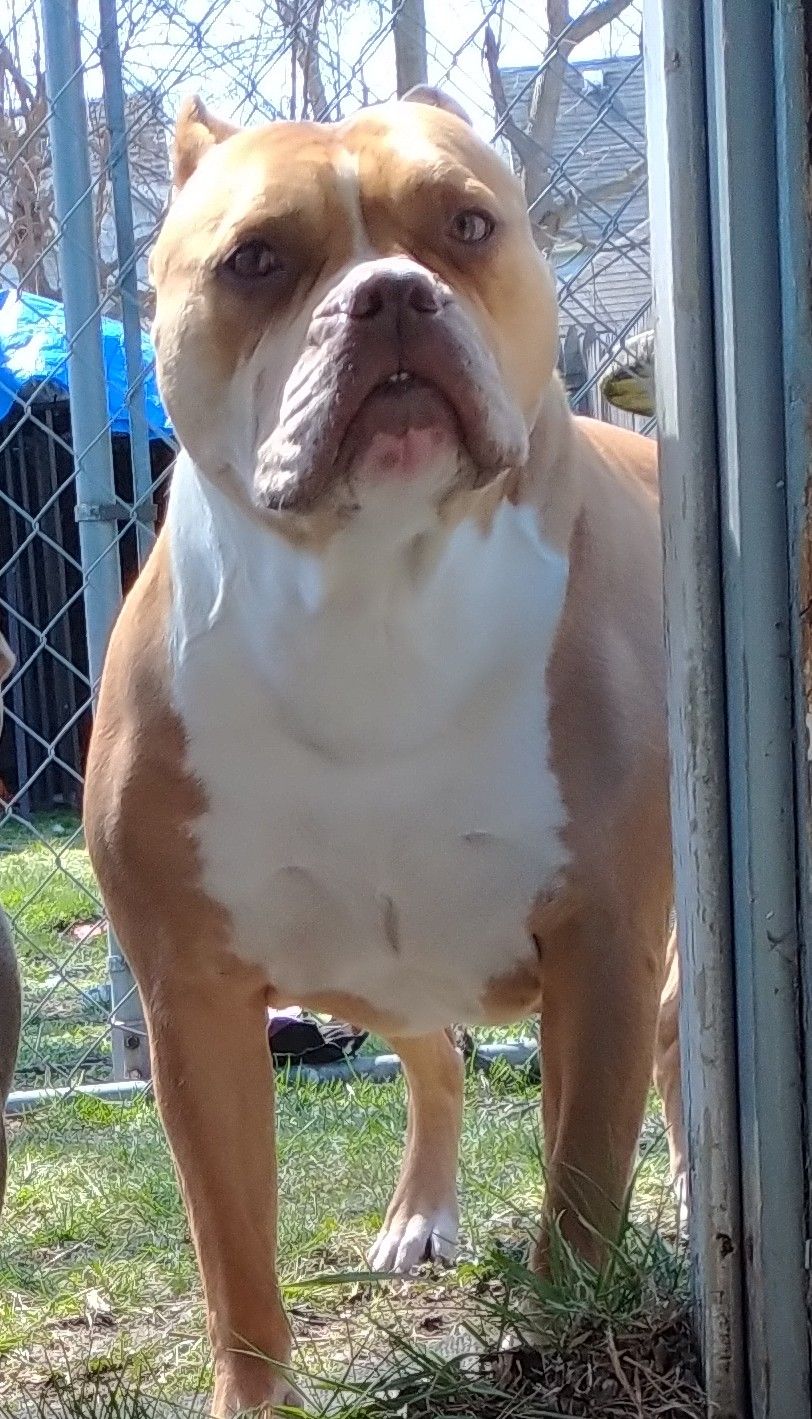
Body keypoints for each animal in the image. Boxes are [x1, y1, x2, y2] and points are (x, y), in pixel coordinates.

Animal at [84, 87, 686, 1415]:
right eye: (255, 257)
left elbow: (581, 1175)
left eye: (466, 224)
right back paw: (420, 1216)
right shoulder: (194, 995)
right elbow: (232, 1247)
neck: (371, 592)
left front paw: (565, 1327)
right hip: (370, 960)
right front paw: (252, 1397)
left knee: (650, 1067)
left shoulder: (604, 939)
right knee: (434, 1058)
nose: (394, 294)